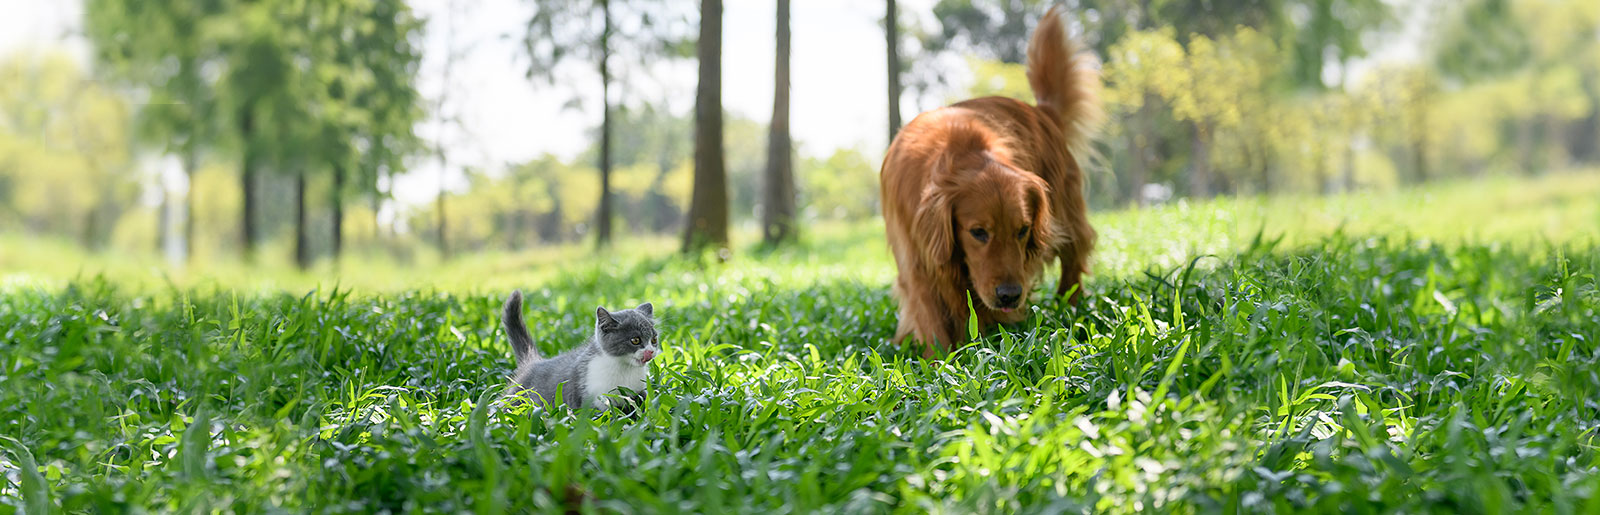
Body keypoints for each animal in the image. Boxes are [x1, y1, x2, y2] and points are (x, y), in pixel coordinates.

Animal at [499, 289, 656, 409]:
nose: (650, 351)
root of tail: (533, 362)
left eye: (654, 339)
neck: (624, 368)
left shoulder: (638, 391)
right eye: (635, 340)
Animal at [876, 5, 1100, 358]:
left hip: (1068, 216)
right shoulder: (917, 262)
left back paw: (1070, 310)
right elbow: (931, 317)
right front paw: (940, 362)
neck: (957, 151)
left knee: (1074, 259)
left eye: (1022, 230)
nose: (1010, 295)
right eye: (978, 232)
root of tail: (1042, 111)